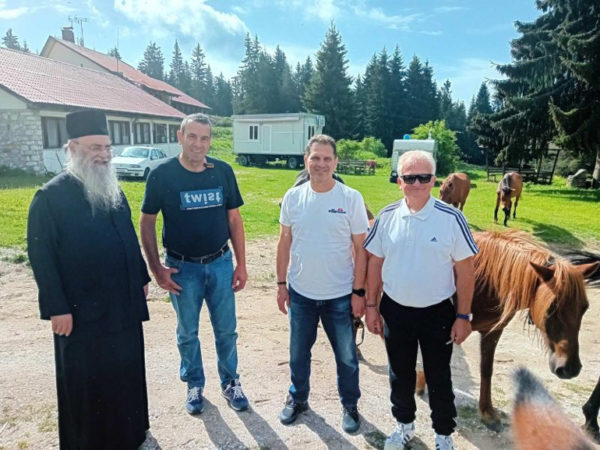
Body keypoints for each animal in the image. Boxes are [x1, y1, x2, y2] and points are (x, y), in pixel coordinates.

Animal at [415, 230, 599, 431]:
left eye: (585, 308)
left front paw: (487, 411)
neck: (483, 279)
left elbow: (486, 369)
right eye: (552, 308)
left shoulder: (493, 332)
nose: (570, 368)